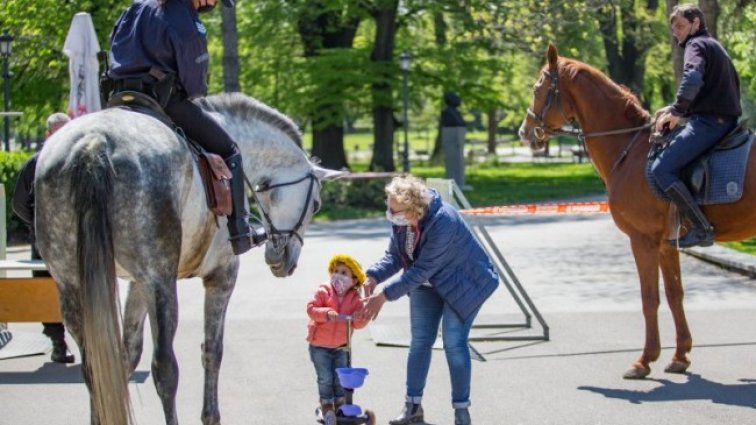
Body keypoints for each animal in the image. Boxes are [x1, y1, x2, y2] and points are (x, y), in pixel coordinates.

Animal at [33, 93, 340, 424]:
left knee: (94, 369)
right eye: (316, 204)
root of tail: (93, 142)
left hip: (75, 286)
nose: (284, 261)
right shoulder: (221, 275)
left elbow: (126, 356)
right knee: (165, 369)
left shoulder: (137, 283)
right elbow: (212, 350)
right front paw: (211, 415)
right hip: (162, 285)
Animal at [520, 44, 756, 380]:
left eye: (538, 88)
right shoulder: (666, 244)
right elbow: (674, 294)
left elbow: (649, 298)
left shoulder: (642, 240)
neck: (630, 150)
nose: (525, 132)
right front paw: (680, 355)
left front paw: (644, 360)